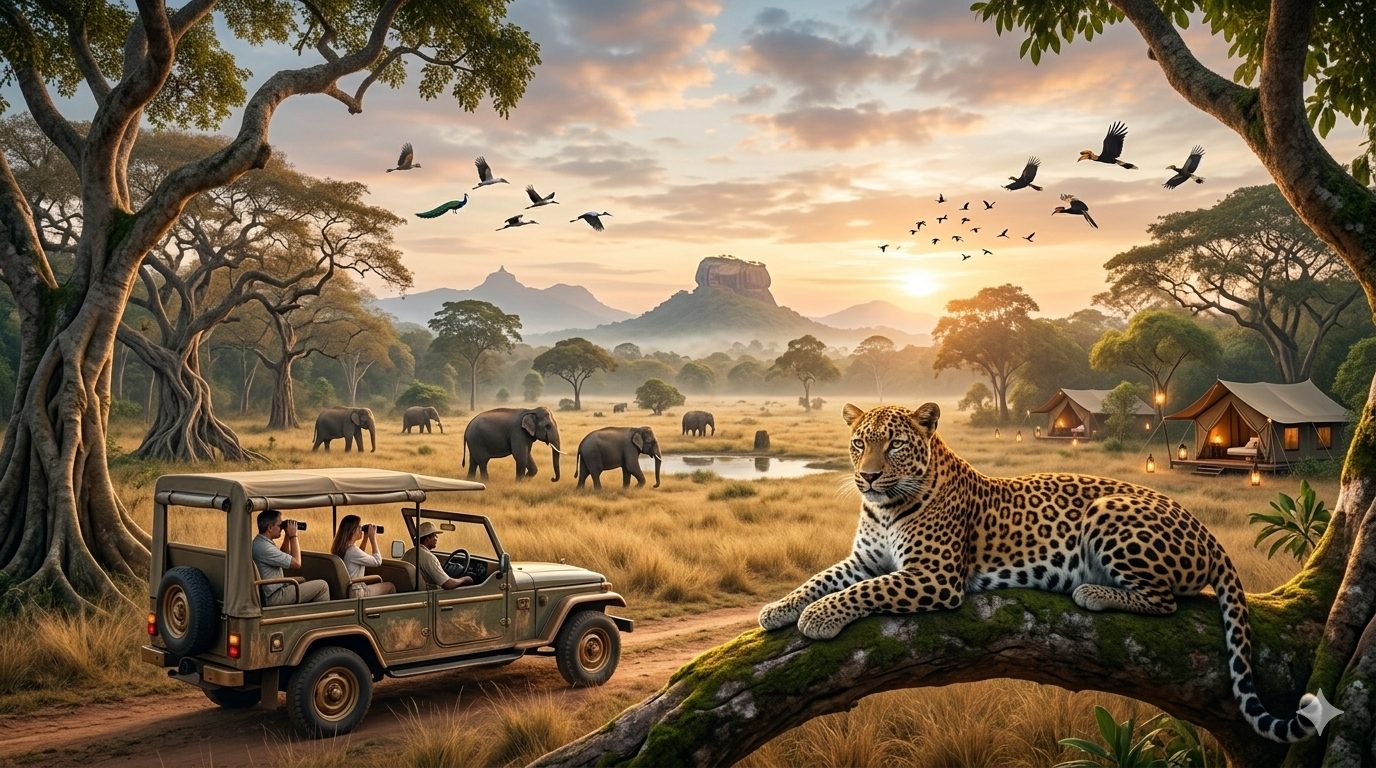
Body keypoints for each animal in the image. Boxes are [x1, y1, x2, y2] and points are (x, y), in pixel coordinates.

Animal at [758, 401, 1316, 743]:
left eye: (895, 444)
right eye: (859, 443)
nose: (868, 476)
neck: (885, 507)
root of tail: (1205, 528)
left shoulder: (933, 574)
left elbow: (864, 592)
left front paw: (819, 618)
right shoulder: (864, 559)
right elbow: (822, 579)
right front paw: (778, 609)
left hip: (1109, 512)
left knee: (1165, 600)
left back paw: (1093, 591)